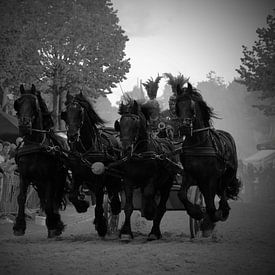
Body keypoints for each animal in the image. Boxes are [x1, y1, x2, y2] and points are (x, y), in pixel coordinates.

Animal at [13, 84, 68, 239]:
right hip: (39, 182)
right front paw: (19, 226)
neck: (36, 145)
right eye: (18, 102)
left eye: (34, 103)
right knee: (45, 199)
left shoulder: (48, 177)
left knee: (54, 199)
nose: (24, 124)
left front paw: (53, 226)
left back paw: (55, 223)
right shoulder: (24, 176)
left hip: (58, 179)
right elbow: (21, 198)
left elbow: (50, 201)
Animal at [62, 92, 123, 237]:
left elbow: (100, 202)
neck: (86, 151)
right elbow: (72, 196)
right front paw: (82, 205)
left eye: (80, 112)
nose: (72, 135)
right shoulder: (77, 175)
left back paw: (114, 209)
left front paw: (101, 225)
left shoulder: (99, 179)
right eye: (65, 113)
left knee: (113, 192)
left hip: (112, 176)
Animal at [115, 97, 178, 242]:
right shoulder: (127, 180)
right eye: (121, 123)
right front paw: (126, 233)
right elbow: (128, 206)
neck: (139, 154)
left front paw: (150, 213)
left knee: (161, 207)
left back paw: (154, 232)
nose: (125, 148)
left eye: (135, 123)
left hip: (167, 184)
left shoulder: (151, 179)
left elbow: (150, 197)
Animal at [175, 82, 242, 237]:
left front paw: (208, 218)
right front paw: (197, 213)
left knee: (222, 191)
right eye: (177, 106)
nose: (184, 127)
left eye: (192, 105)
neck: (198, 144)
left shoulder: (210, 177)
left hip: (228, 174)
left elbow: (211, 205)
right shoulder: (190, 174)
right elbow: (182, 195)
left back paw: (222, 212)